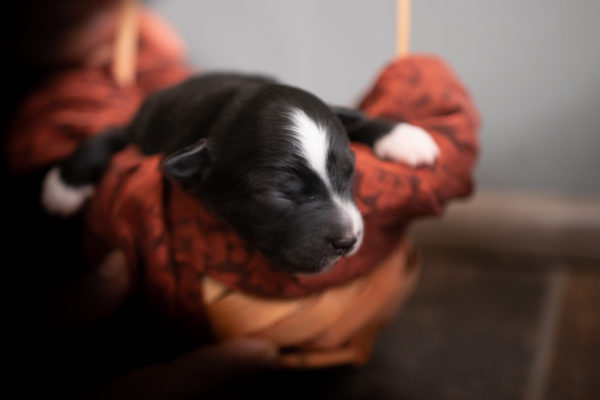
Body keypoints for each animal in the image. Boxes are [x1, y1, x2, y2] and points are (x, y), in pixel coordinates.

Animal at [41, 72, 436, 276]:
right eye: (279, 194)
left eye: (351, 173)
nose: (348, 240)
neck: (225, 107)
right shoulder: (143, 136)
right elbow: (106, 137)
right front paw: (63, 187)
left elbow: (354, 115)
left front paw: (406, 136)